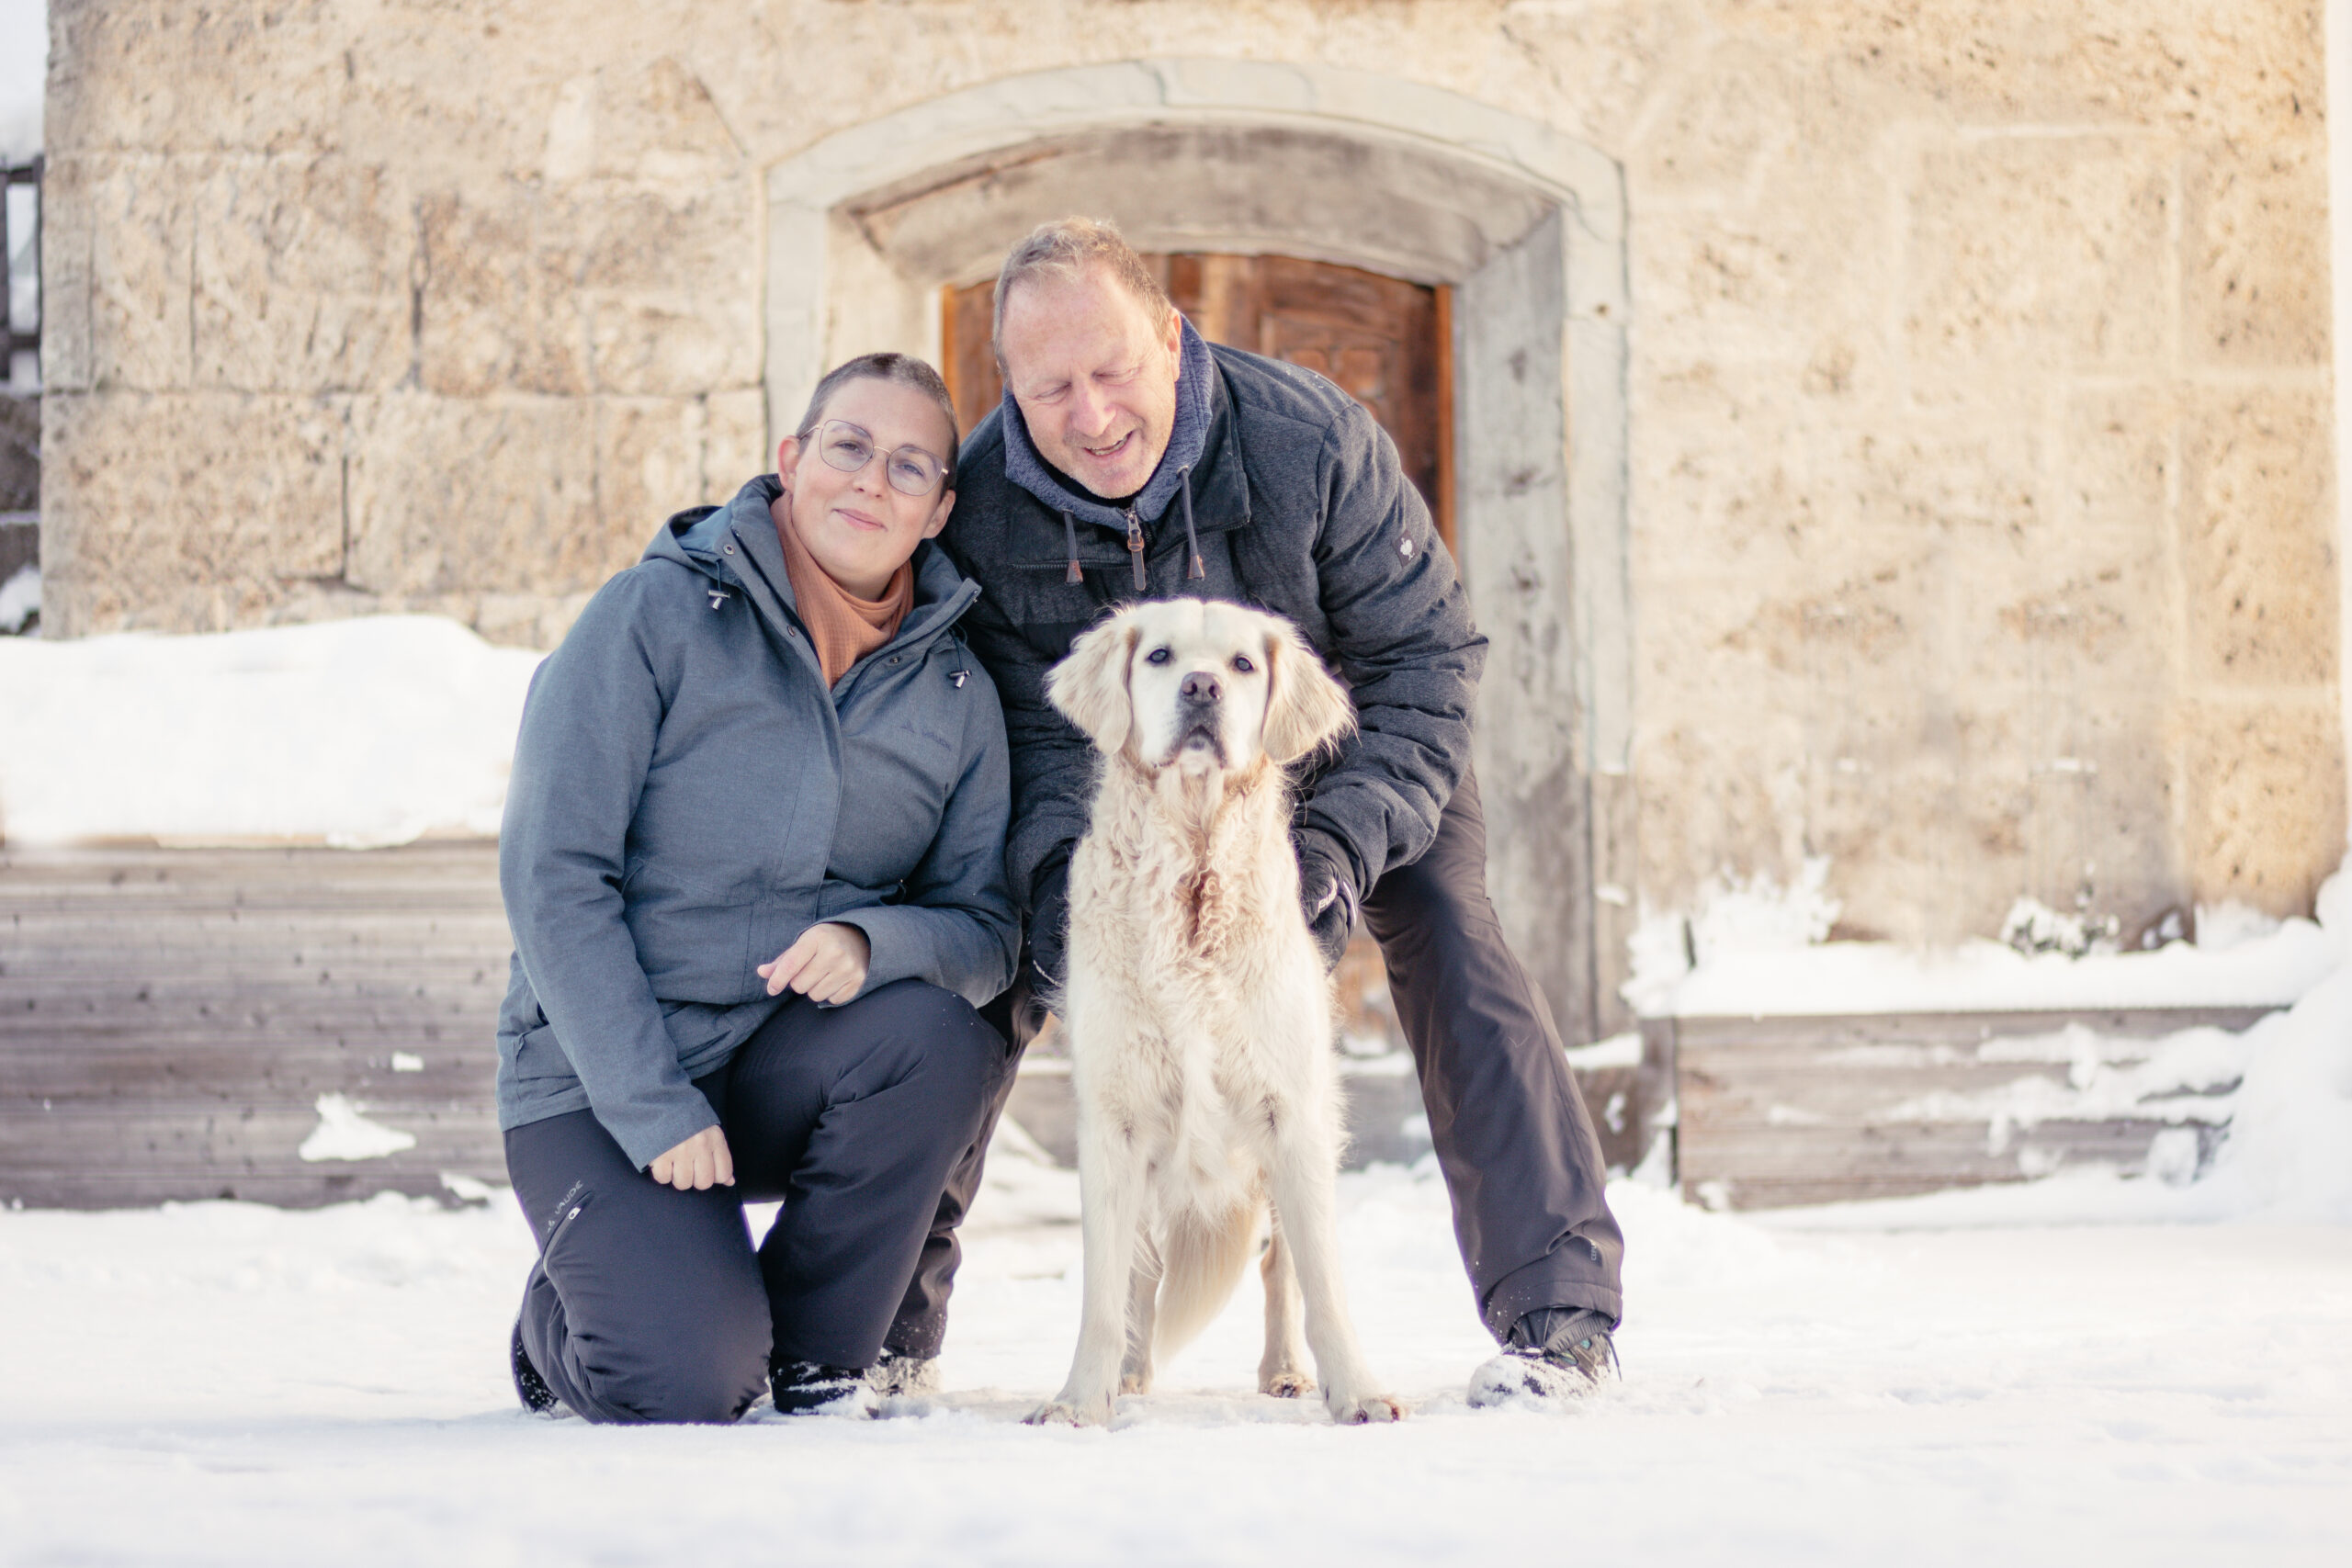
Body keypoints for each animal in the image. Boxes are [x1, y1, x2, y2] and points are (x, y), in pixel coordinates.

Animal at [1025, 594, 1392, 1429]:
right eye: (1159, 656)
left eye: (1243, 664)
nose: (1201, 688)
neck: (1192, 868)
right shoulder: (1114, 1119)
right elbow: (1105, 1292)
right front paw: (1079, 1400)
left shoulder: (1291, 1112)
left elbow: (1321, 1281)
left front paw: (1356, 1389)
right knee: (1140, 1273)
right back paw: (1130, 1373)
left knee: (1281, 1268)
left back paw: (1286, 1370)